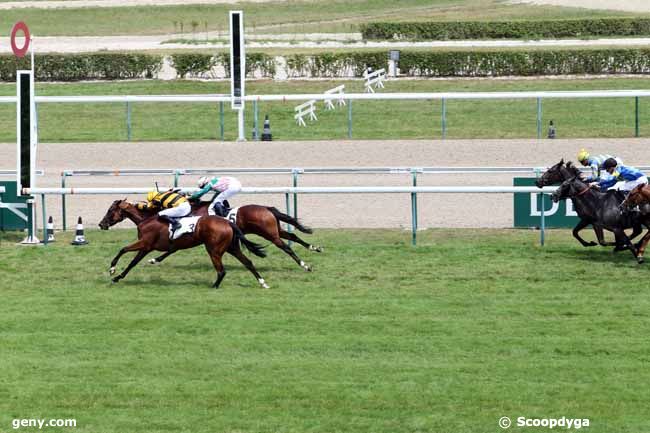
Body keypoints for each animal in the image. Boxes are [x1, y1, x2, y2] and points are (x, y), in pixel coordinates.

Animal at [97, 200, 268, 288]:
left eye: (110, 210)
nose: (101, 224)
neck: (146, 219)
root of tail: (227, 222)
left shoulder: (145, 243)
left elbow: (123, 249)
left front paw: (112, 269)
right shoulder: (146, 248)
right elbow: (132, 263)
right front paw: (117, 277)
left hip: (214, 250)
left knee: (222, 271)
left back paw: (214, 286)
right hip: (232, 248)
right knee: (248, 262)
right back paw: (262, 282)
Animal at [146, 199, 320, 270]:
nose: (155, 216)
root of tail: (267, 208)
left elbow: (172, 249)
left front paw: (154, 259)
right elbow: (173, 249)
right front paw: (155, 259)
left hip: (270, 234)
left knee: (286, 247)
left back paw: (305, 265)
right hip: (274, 230)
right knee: (293, 237)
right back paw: (314, 248)